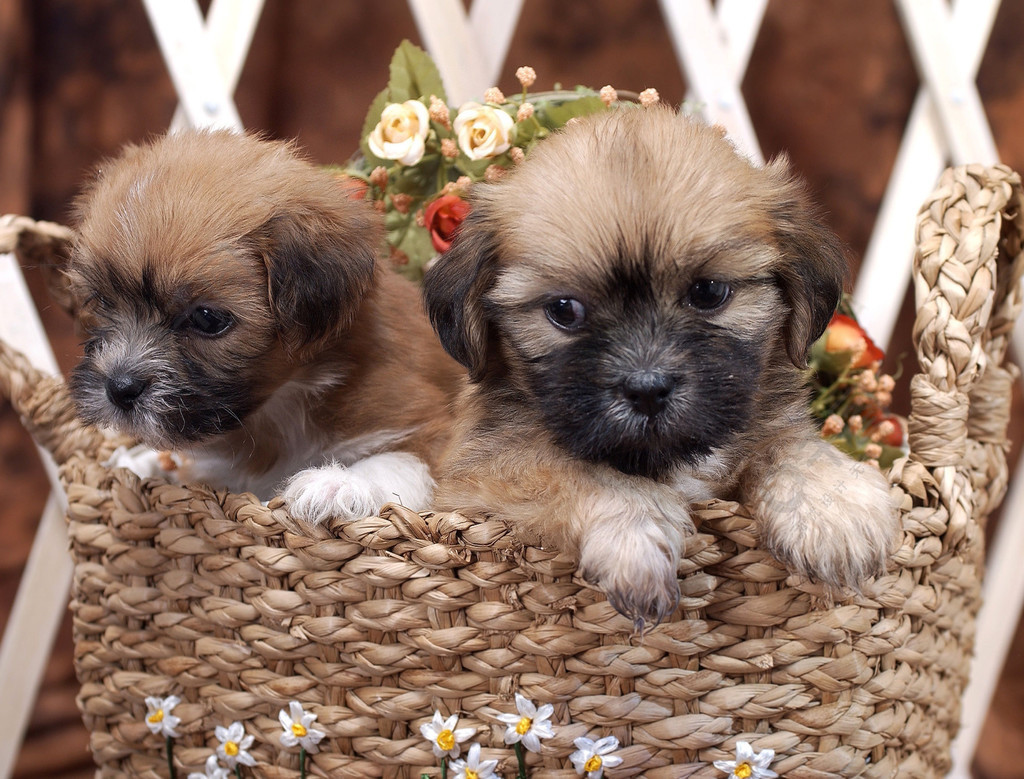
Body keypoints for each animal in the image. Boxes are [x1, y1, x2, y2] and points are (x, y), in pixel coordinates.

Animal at [58, 130, 464, 520]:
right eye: (103, 301)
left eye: (206, 319)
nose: (120, 388)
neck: (284, 407)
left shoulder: (429, 429)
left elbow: (400, 461)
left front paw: (338, 484)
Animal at [419, 106, 901, 626]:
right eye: (564, 310)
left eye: (708, 292)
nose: (647, 389)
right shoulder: (474, 483)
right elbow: (564, 466)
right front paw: (636, 533)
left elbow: (789, 444)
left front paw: (833, 506)